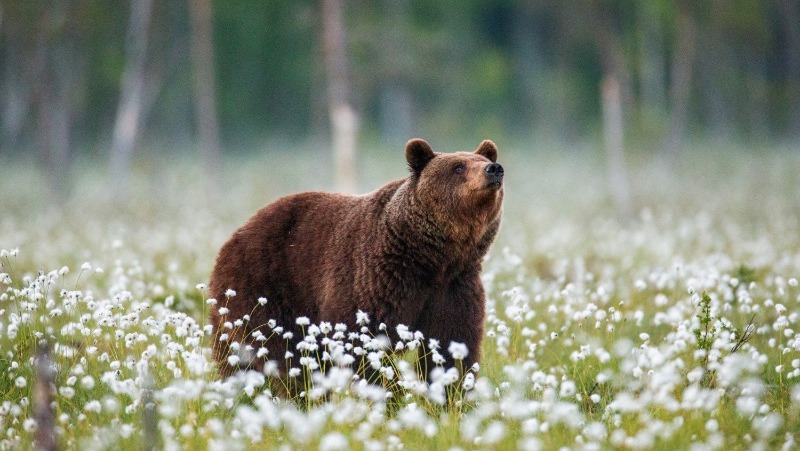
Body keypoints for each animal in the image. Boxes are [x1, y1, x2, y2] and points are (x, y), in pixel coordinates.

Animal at [209, 139, 504, 384]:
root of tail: (234, 236)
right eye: (458, 167)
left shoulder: (454, 286)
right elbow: (361, 340)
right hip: (264, 286)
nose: (494, 169)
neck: (430, 258)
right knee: (273, 352)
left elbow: (452, 342)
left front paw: (451, 392)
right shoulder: (374, 278)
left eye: (480, 158)